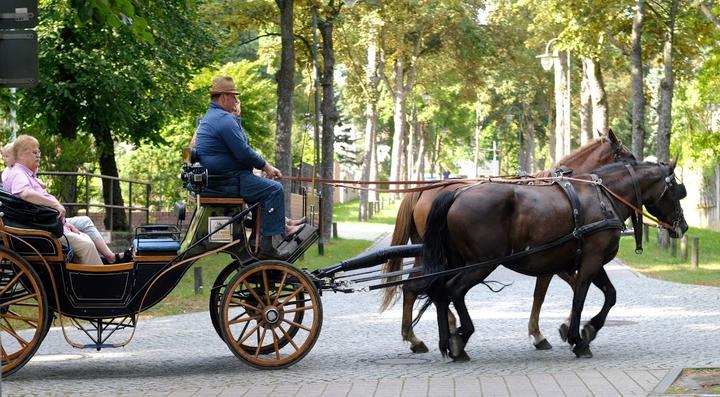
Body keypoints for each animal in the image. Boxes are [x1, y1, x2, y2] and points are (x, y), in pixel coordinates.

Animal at [380, 129, 632, 350]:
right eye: (626, 154)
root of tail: (423, 190)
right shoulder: (553, 260)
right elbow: (549, 292)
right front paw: (548, 331)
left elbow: (551, 292)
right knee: (425, 287)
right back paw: (435, 332)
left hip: (429, 255)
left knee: (415, 287)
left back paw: (419, 336)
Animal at [424, 160, 688, 358]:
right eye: (676, 190)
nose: (683, 226)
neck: (604, 197)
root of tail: (457, 193)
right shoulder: (591, 260)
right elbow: (579, 299)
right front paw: (578, 340)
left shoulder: (594, 261)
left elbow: (610, 295)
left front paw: (589, 329)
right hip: (483, 263)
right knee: (454, 289)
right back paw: (461, 337)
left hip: (460, 261)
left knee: (440, 292)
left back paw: (447, 343)